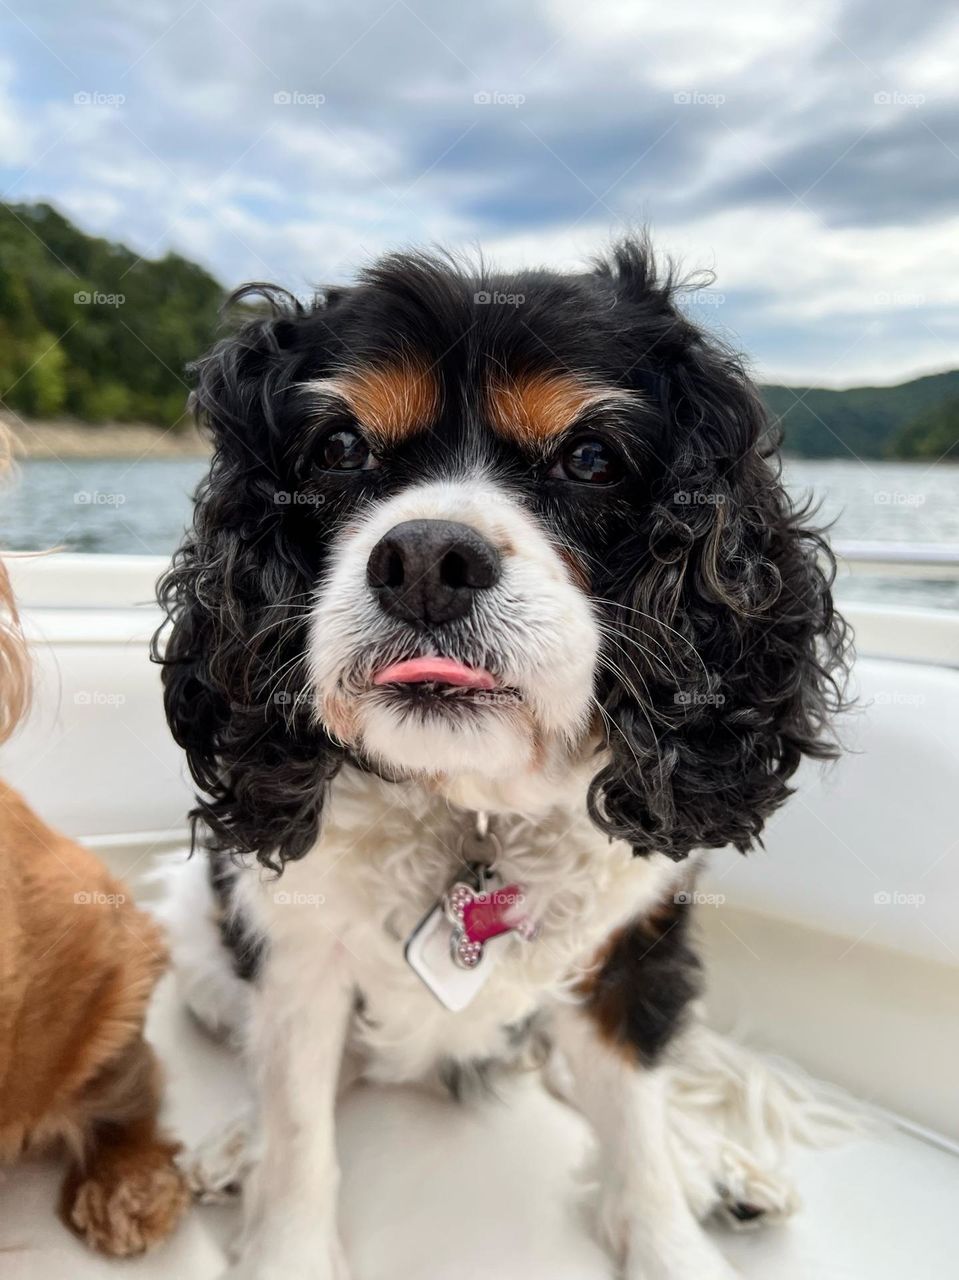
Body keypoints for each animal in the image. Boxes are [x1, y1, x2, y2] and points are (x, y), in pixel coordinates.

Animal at [156, 241, 845, 1280]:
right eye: (341, 449)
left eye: (590, 459)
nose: (426, 560)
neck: (468, 805)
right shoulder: (294, 956)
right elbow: (299, 1130)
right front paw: (281, 1229)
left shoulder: (630, 947)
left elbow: (635, 1128)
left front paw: (671, 1227)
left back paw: (710, 1164)